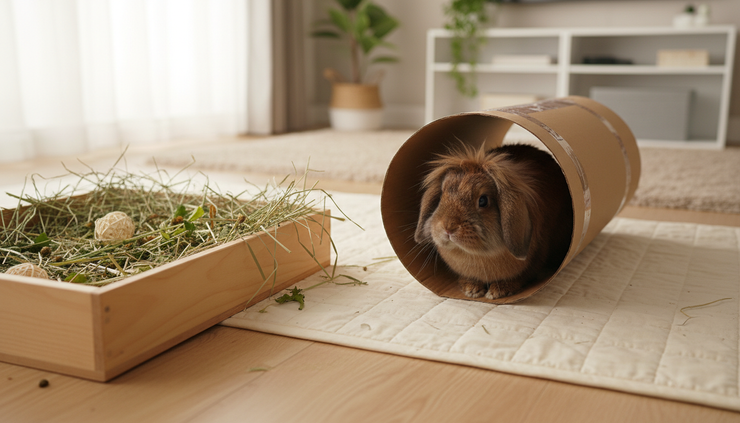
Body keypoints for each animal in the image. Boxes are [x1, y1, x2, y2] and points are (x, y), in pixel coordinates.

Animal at [414, 143, 573, 300]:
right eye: (442, 195)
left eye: (483, 200)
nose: (448, 227)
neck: (477, 255)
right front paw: (472, 290)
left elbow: (522, 276)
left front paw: (497, 292)